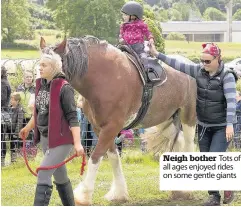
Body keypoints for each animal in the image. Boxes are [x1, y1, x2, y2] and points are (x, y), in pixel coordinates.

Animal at [40, 36, 198, 205]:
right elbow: (113, 157)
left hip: (188, 116)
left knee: (189, 144)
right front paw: (119, 193)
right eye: (40, 64)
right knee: (179, 142)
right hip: (165, 120)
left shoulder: (111, 127)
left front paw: (83, 195)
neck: (104, 78)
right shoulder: (100, 128)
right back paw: (178, 190)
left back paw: (187, 189)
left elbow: (95, 156)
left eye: (53, 66)